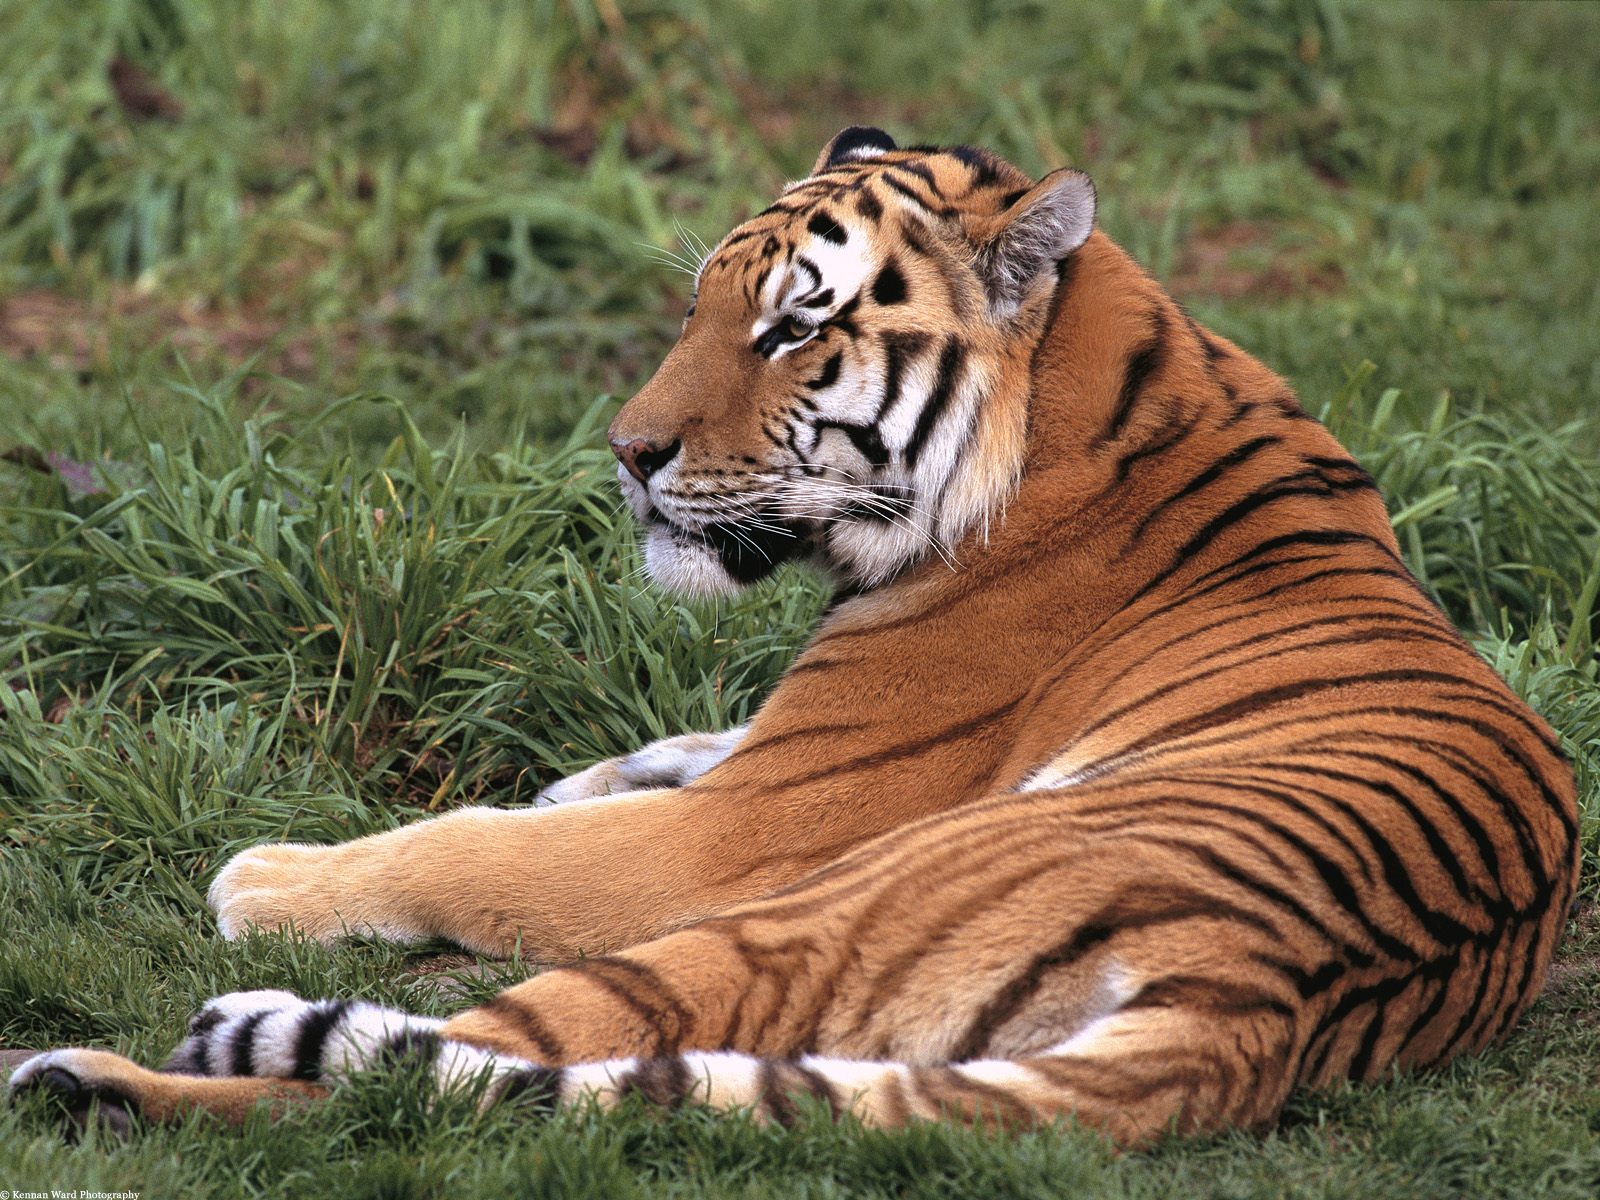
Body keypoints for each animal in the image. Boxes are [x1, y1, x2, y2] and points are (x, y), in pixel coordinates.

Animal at [8, 127, 1578, 1146]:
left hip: (794, 916)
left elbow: (481, 847)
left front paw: (272, 875)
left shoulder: (744, 833)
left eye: (790, 332)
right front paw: (596, 770)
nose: (627, 454)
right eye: (702, 303)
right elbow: (654, 756)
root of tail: (1258, 998)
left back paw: (91, 1077)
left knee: (416, 1084)